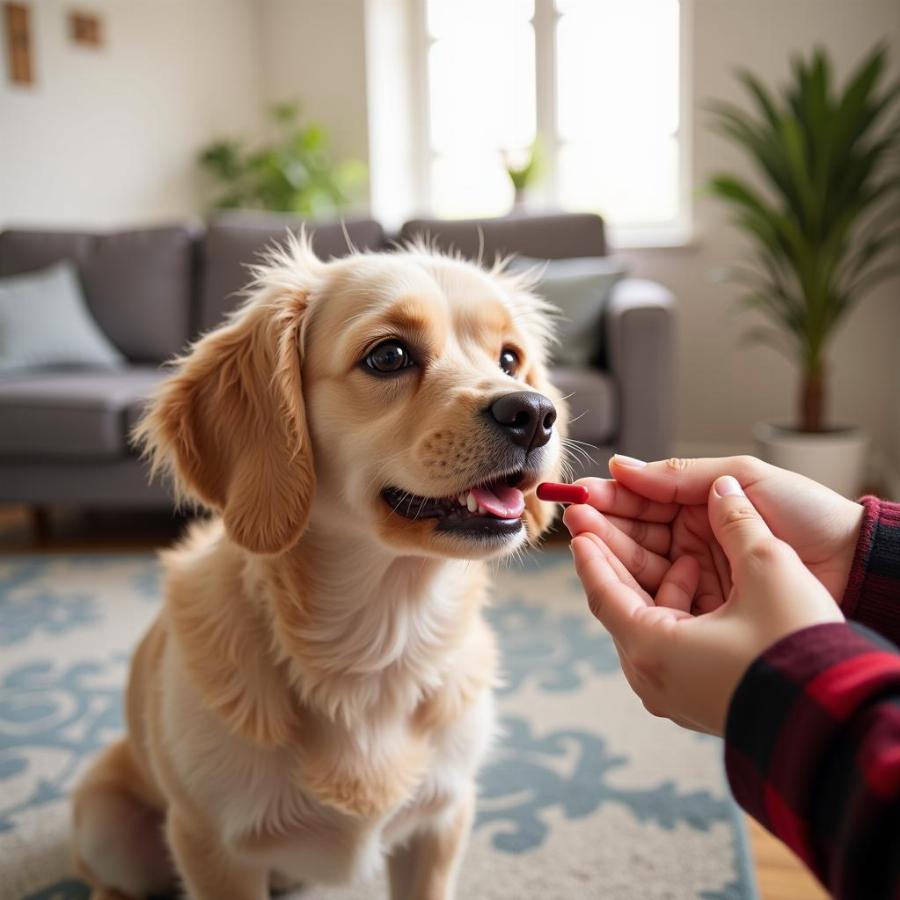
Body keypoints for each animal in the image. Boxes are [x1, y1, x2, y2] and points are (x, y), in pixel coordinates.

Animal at [70, 237, 568, 900]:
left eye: (510, 359)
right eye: (389, 356)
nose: (535, 413)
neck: (380, 639)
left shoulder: (442, 819)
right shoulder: (213, 847)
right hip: (107, 824)